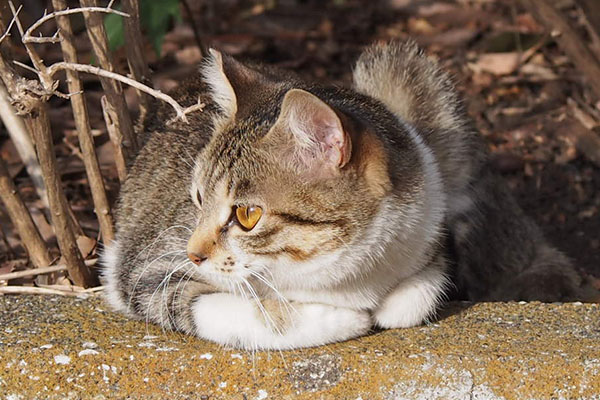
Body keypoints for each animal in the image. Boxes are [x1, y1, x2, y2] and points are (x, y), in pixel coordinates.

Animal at [101, 41, 588, 350]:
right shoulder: (144, 265)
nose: (194, 253)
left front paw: (393, 303)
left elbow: (421, 290)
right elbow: (226, 308)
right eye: (198, 199)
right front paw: (338, 318)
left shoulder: (428, 221)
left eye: (246, 215)